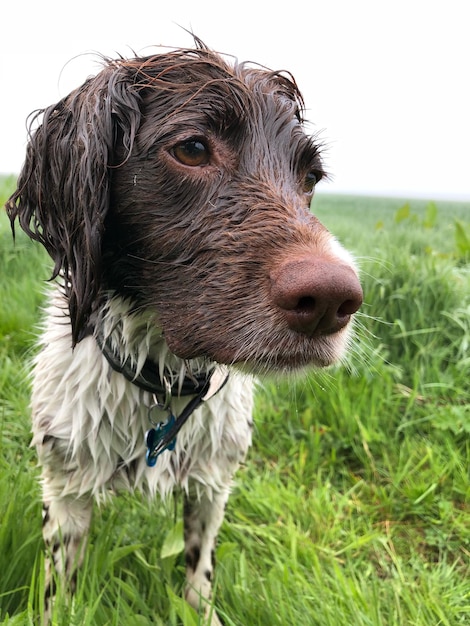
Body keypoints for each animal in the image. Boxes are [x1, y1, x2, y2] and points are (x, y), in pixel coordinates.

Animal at [5, 40, 362, 624]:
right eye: (192, 149)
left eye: (310, 178)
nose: (333, 301)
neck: (159, 381)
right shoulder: (65, 485)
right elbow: (62, 582)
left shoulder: (213, 481)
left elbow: (200, 567)